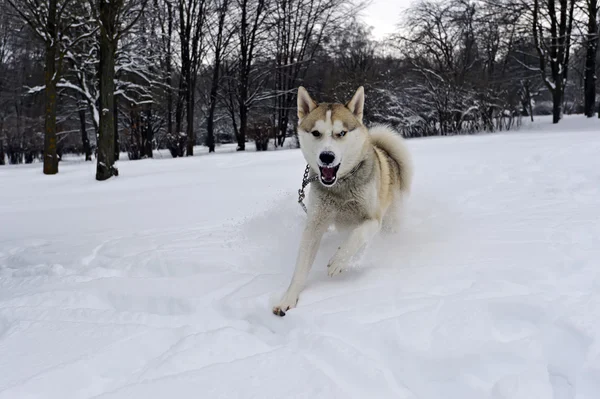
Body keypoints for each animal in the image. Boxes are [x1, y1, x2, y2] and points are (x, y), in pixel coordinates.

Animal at [272, 86, 412, 318]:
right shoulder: (315, 224)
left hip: (391, 220)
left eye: (342, 133)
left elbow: (357, 235)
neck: (341, 187)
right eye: (316, 133)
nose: (326, 157)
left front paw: (338, 261)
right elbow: (300, 267)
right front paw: (288, 299)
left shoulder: (373, 219)